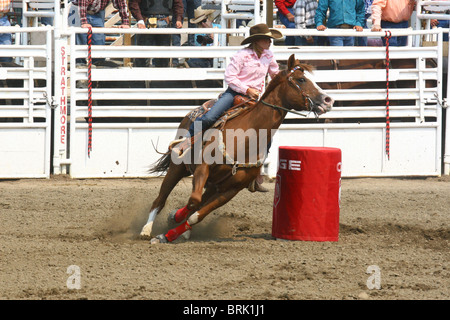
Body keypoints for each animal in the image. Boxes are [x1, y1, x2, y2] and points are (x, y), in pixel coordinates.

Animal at [141, 55, 334, 244]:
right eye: (301, 79)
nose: (328, 100)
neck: (245, 138)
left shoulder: (232, 189)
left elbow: (196, 215)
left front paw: (170, 233)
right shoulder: (203, 167)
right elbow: (193, 202)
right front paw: (172, 218)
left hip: (214, 185)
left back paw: (181, 232)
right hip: (178, 167)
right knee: (160, 200)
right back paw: (146, 230)